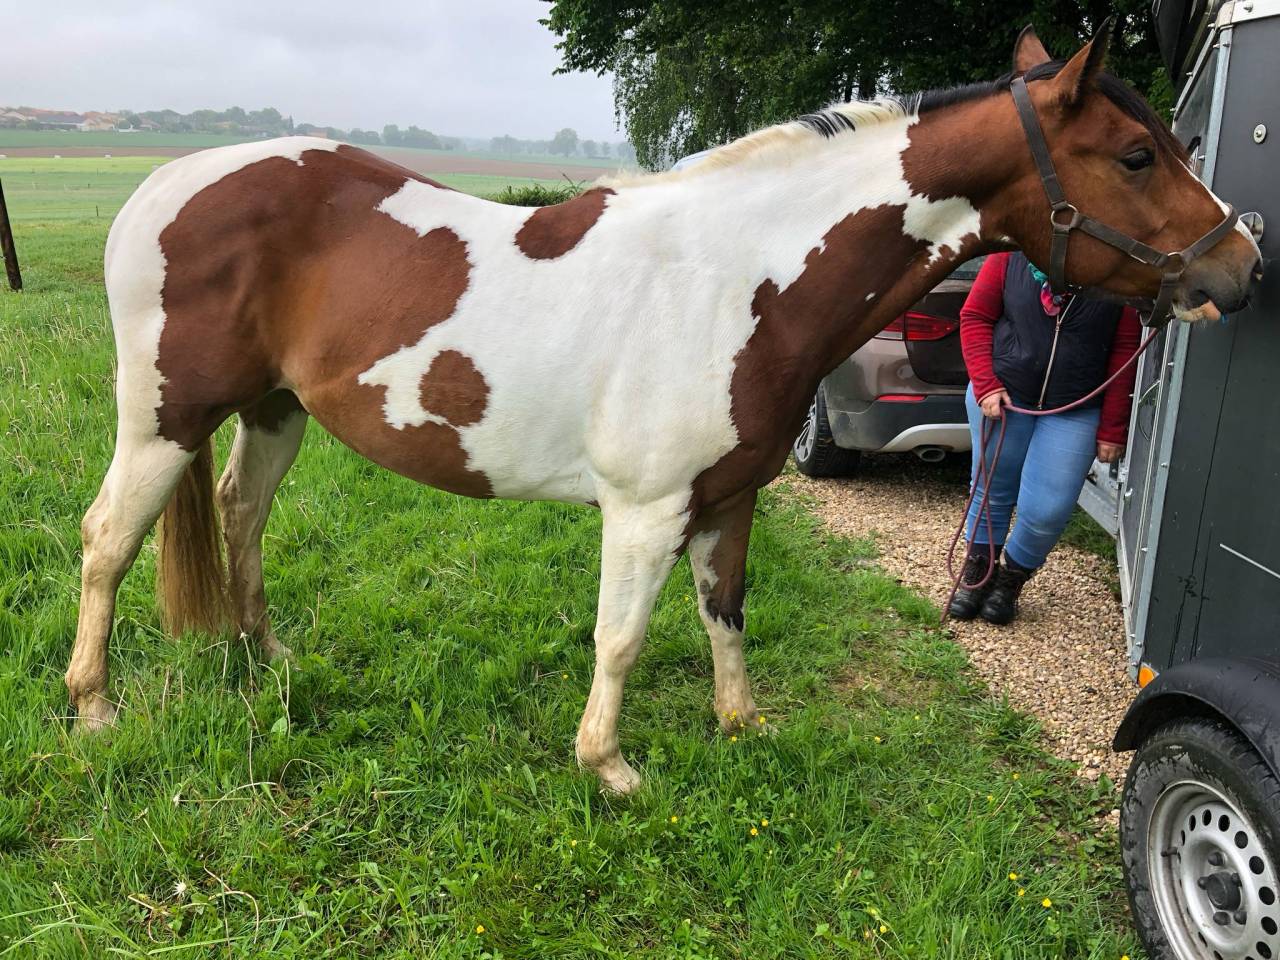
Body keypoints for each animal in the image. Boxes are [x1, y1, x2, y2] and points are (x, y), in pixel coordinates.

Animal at [67, 24, 1260, 794]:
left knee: (240, 513)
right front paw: (609, 768)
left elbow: (723, 611)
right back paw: (93, 707)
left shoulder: (730, 498)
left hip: (275, 411)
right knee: (107, 538)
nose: (1241, 270)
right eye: (1137, 154)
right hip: (161, 421)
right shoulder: (643, 511)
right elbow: (623, 636)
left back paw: (261, 656)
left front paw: (741, 725)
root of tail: (160, 187)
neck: (739, 280)